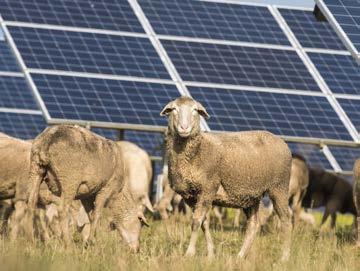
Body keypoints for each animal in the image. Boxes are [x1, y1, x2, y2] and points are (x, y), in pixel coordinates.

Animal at [12, 125, 146, 251]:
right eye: (139, 222)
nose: (137, 249)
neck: (119, 194)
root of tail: (47, 140)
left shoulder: (87, 195)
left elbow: (90, 216)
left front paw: (90, 240)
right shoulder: (106, 189)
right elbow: (97, 214)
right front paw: (92, 242)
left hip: (36, 168)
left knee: (31, 203)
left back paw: (31, 241)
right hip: (69, 179)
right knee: (62, 210)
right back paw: (68, 245)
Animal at [160, 96, 292, 260]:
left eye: (195, 110)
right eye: (174, 109)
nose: (184, 128)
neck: (197, 150)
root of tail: (281, 141)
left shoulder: (208, 188)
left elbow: (196, 222)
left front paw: (189, 253)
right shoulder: (190, 196)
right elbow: (203, 223)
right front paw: (210, 254)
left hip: (279, 186)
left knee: (286, 220)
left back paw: (284, 258)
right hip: (251, 195)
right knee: (253, 225)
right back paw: (240, 256)